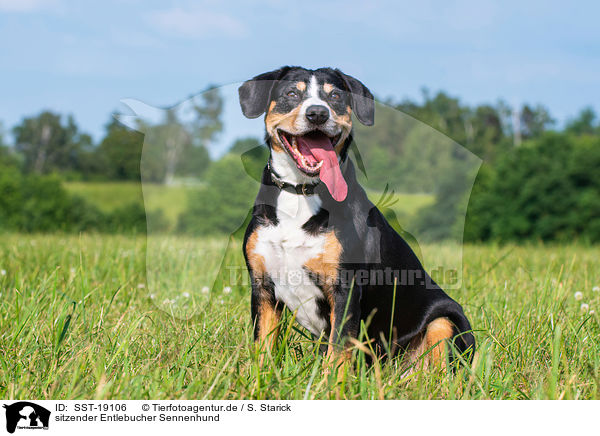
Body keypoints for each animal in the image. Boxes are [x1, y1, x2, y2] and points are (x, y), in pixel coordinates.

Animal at [237, 66, 476, 370]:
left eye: (335, 96)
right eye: (291, 93)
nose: (318, 113)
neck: (301, 193)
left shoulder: (345, 289)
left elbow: (338, 352)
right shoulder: (263, 287)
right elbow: (262, 347)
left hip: (444, 320)